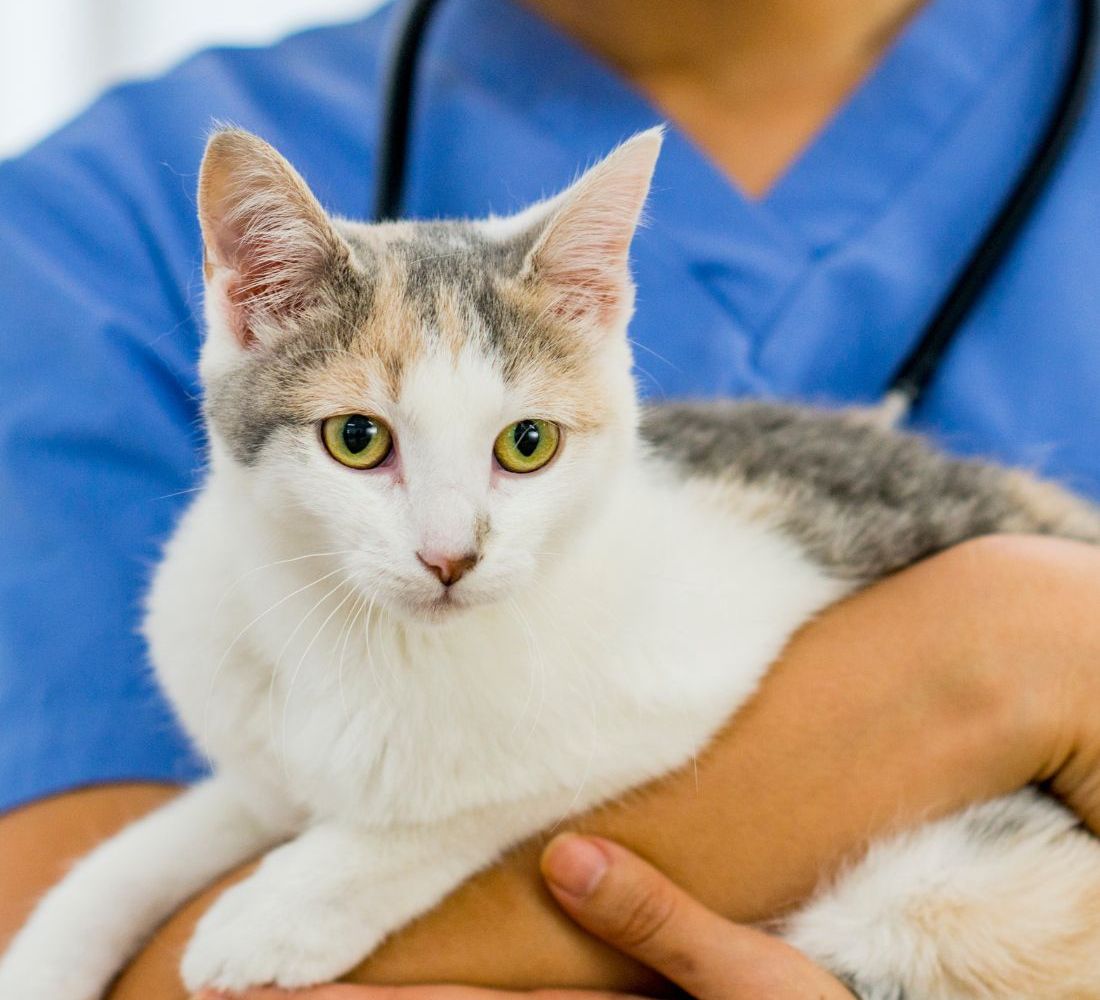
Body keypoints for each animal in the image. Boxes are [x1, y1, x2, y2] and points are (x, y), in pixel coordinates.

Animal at [2, 124, 1100, 998]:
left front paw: (285, 906)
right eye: (356, 439)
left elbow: (482, 788)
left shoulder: (690, 664)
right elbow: (162, 838)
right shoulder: (255, 743)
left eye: (526, 444)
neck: (366, 642)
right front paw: (55, 948)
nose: (450, 557)